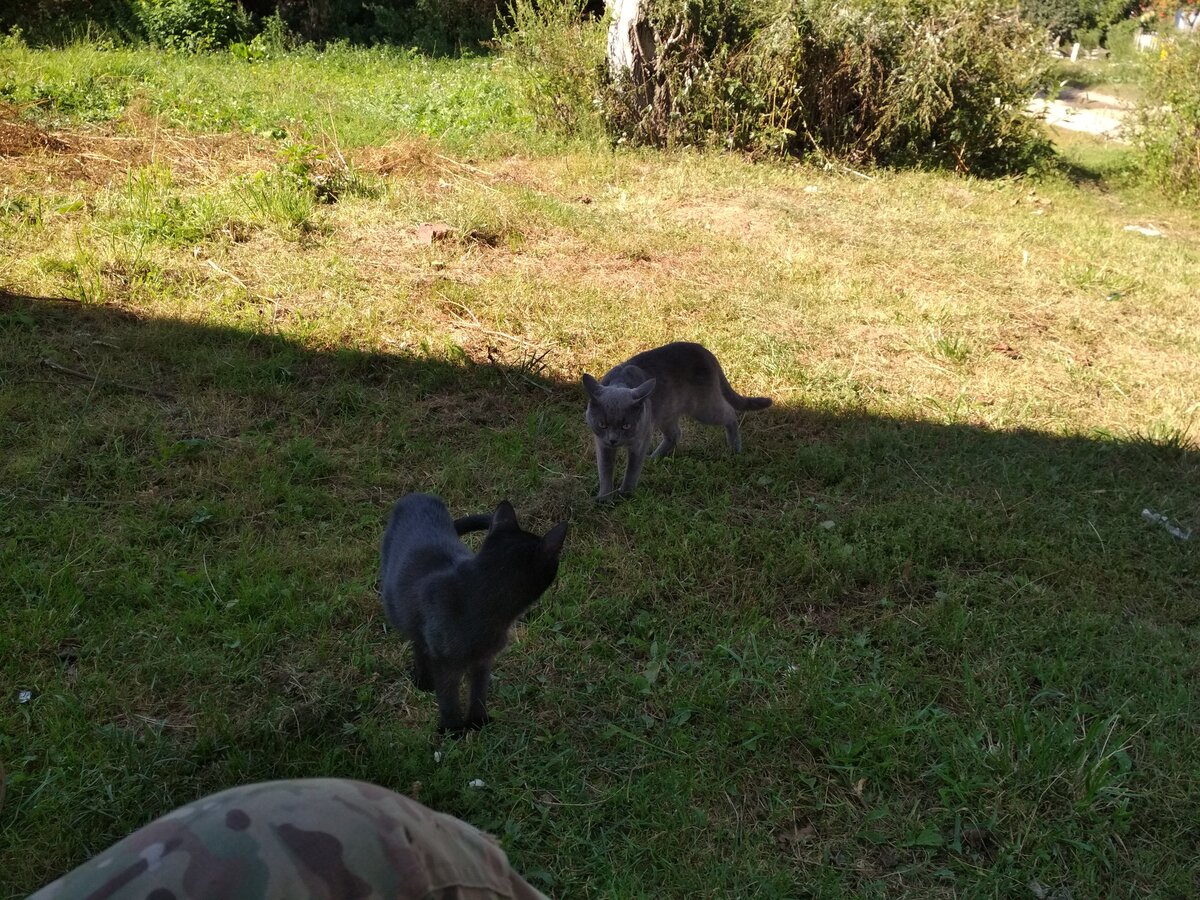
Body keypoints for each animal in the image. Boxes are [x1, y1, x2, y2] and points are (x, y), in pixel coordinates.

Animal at [384, 496, 571, 734]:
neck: (477, 595)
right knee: (418, 643)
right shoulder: (445, 665)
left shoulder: (484, 660)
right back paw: (423, 681)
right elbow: (448, 697)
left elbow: (479, 691)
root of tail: (417, 496)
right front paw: (452, 729)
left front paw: (477, 722)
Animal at [583, 343, 772, 501]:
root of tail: (705, 351)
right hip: (667, 412)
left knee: (730, 414)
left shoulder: (640, 440)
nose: (613, 440)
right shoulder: (602, 444)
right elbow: (605, 470)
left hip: (703, 409)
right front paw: (604, 498)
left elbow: (632, 470)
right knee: (675, 434)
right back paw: (654, 458)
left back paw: (735, 448)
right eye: (602, 424)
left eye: (626, 426)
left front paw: (625, 494)